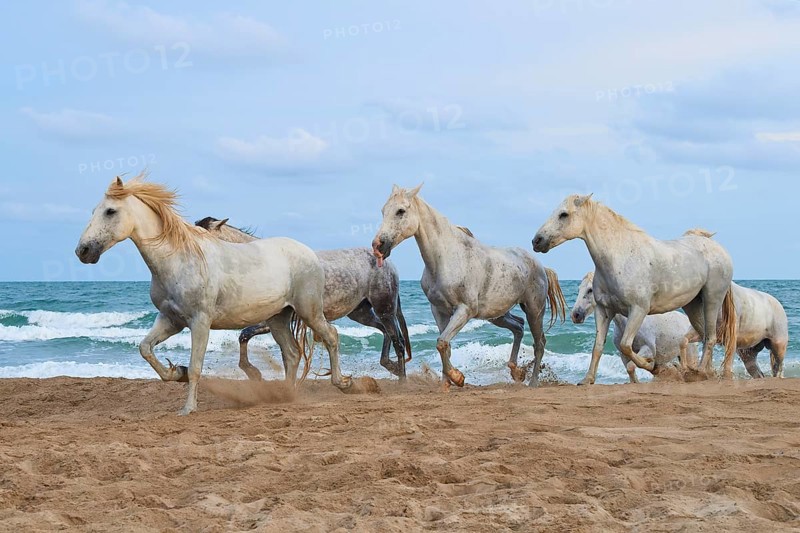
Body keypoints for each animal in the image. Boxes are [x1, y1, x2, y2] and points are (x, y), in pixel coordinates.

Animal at [76, 175, 354, 415]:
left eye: (110, 211)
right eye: (93, 210)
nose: (83, 251)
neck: (179, 260)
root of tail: (309, 252)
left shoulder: (200, 322)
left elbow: (196, 366)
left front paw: (188, 407)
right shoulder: (170, 320)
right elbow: (146, 349)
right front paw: (177, 372)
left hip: (309, 311)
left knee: (331, 336)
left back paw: (343, 383)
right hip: (278, 318)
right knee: (292, 353)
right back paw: (286, 394)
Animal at [195, 216, 413, 380]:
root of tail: (389, 263)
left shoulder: (271, 320)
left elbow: (246, 335)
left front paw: (254, 373)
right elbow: (268, 347)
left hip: (384, 307)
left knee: (398, 341)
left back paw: (401, 380)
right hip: (361, 312)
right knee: (385, 331)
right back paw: (389, 365)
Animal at [372, 184, 567, 389]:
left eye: (400, 211)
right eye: (383, 211)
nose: (378, 246)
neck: (446, 259)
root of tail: (541, 267)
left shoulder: (464, 310)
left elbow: (442, 342)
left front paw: (458, 378)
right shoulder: (439, 311)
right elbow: (445, 345)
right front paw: (446, 384)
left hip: (534, 310)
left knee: (539, 343)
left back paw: (533, 382)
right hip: (497, 315)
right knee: (519, 327)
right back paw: (516, 371)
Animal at [572, 272, 700, 383]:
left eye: (590, 290)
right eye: (579, 289)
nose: (575, 315)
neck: (628, 325)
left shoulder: (648, 349)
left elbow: (632, 365)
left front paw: (652, 367)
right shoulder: (623, 355)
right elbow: (629, 368)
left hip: (690, 354)